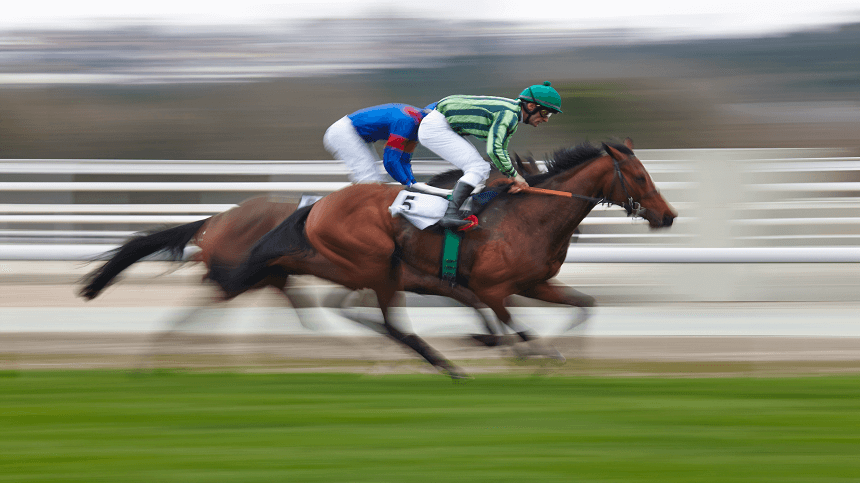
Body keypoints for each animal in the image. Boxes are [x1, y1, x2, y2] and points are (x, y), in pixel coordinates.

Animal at [212, 140, 676, 378]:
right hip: (376, 266)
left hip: (378, 272)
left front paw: (555, 354)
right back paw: (446, 364)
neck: (533, 215)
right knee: (384, 320)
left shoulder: (533, 283)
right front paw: (531, 354)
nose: (668, 215)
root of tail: (319, 205)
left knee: (356, 311)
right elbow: (513, 324)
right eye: (640, 177)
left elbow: (584, 305)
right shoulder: (492, 287)